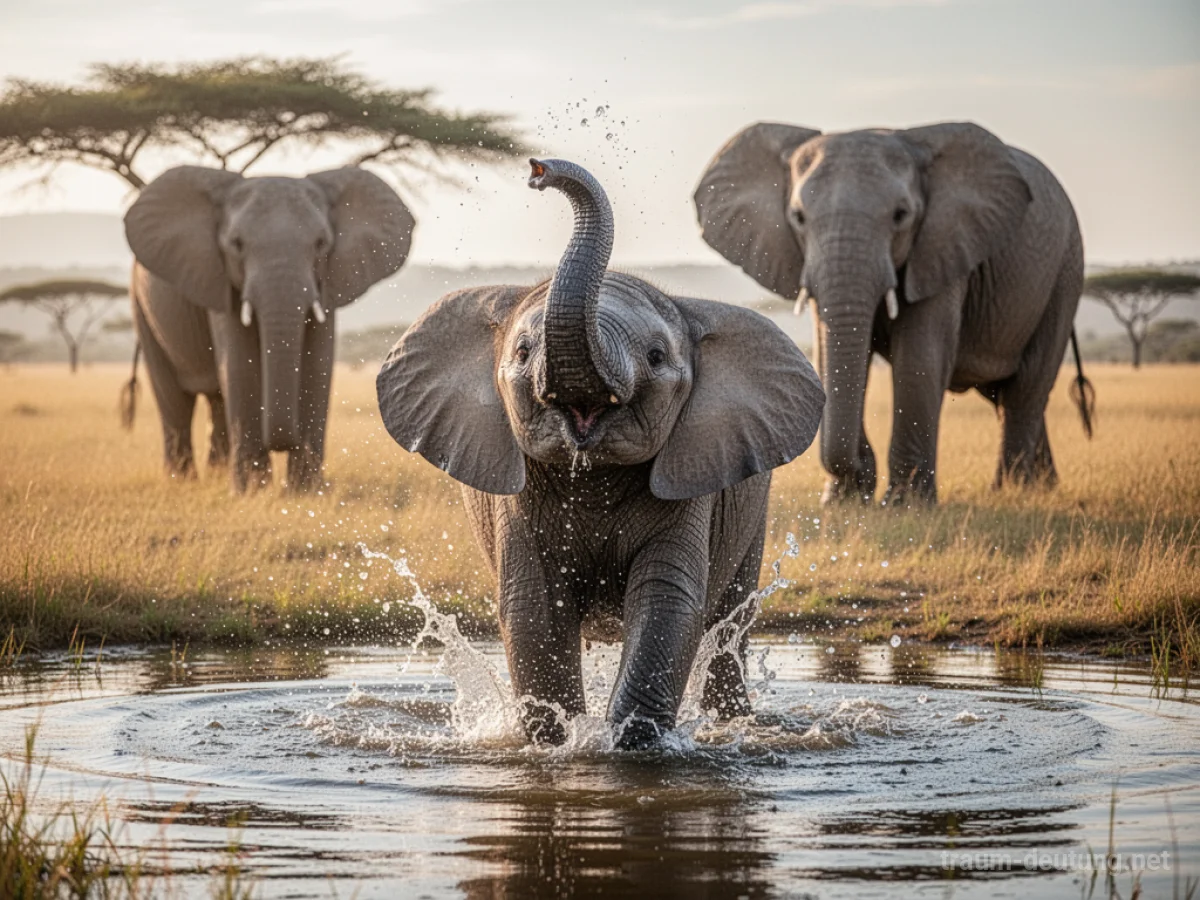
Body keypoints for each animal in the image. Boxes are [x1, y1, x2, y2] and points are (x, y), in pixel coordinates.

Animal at [123, 165, 413, 491]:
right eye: (237, 244)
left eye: (321, 244)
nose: (283, 444)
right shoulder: (221, 281)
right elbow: (240, 365)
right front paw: (252, 492)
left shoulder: (329, 282)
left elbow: (318, 366)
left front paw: (304, 493)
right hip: (141, 306)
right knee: (174, 401)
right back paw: (183, 483)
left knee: (215, 401)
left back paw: (216, 476)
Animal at [377, 159, 824, 748]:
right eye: (523, 351)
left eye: (656, 356)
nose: (538, 170)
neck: (592, 470)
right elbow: (535, 608)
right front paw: (559, 740)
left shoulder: (691, 474)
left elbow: (666, 602)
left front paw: (627, 742)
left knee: (729, 624)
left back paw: (735, 725)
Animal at [695, 121, 1088, 505]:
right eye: (798, 218)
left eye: (901, 216)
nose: (860, 470)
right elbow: (827, 352)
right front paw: (843, 503)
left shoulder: (940, 249)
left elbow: (919, 356)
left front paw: (905, 505)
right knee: (1004, 394)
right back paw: (1041, 489)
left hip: (1065, 273)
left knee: (1026, 387)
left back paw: (1014, 493)